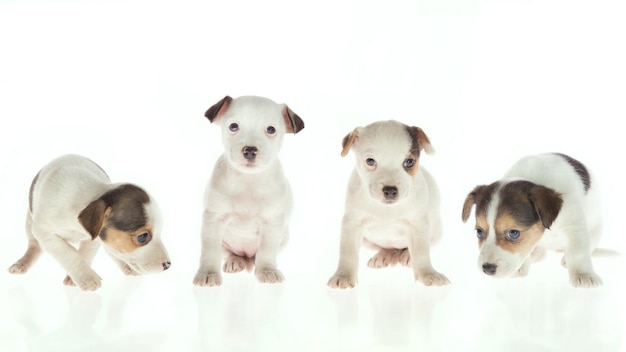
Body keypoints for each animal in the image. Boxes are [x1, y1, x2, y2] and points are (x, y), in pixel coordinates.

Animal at [6, 154, 171, 292]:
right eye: (143, 237)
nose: (168, 265)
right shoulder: (43, 231)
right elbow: (68, 253)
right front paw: (87, 277)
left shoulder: (93, 239)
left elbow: (84, 254)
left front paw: (76, 277)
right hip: (29, 222)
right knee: (35, 246)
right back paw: (22, 263)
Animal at [194, 94, 304, 286]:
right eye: (233, 126)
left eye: (271, 129)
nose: (250, 150)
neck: (248, 180)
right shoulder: (214, 221)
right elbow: (210, 251)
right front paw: (208, 273)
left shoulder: (272, 225)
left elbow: (267, 252)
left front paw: (267, 270)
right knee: (229, 253)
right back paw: (235, 261)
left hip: (283, 238)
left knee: (258, 256)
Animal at [326, 119, 448, 288]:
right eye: (370, 161)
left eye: (409, 162)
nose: (390, 190)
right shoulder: (352, 225)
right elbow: (348, 252)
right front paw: (343, 275)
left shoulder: (418, 225)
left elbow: (421, 252)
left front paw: (427, 273)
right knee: (387, 248)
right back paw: (384, 255)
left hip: (435, 233)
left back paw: (406, 255)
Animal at [460, 153, 604, 288]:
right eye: (479, 232)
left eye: (513, 233)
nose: (487, 269)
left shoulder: (574, 227)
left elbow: (577, 253)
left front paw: (583, 275)